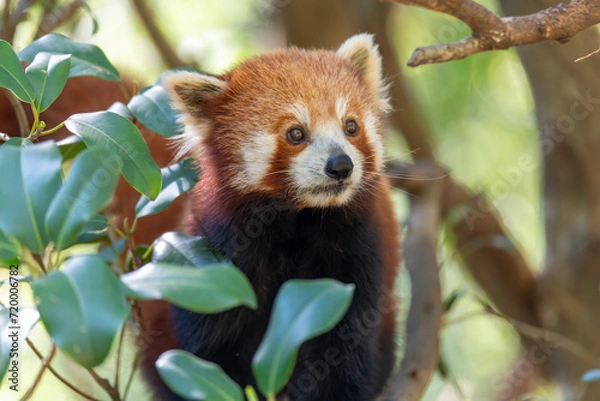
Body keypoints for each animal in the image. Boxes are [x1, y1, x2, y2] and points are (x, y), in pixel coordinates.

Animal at [145, 34, 400, 400]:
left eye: (351, 126)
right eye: (296, 133)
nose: (341, 165)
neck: (297, 220)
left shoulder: (354, 257)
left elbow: (341, 348)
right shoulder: (221, 264)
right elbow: (211, 351)